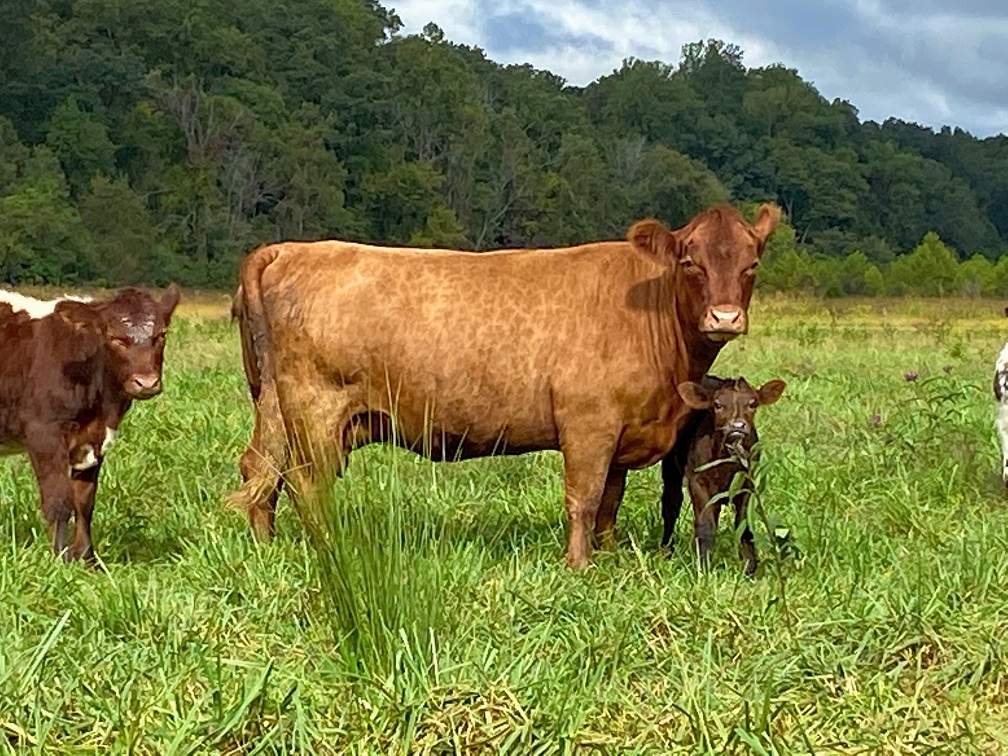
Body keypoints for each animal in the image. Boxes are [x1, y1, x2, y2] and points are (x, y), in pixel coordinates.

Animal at [0, 286, 179, 564]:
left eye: (161, 334)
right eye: (115, 338)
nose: (147, 383)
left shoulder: (94, 438)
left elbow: (84, 501)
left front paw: (88, 559)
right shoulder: (44, 434)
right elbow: (59, 501)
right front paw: (60, 560)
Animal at [228, 202, 778, 568]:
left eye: (752, 263)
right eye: (690, 261)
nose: (724, 317)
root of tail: (289, 249)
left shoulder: (622, 433)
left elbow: (609, 503)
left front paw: (609, 558)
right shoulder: (589, 425)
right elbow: (583, 498)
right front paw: (578, 568)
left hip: (276, 406)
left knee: (261, 469)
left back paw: (266, 545)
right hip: (316, 411)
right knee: (306, 483)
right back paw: (330, 550)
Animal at [661, 376, 786, 576]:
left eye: (753, 403)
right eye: (717, 404)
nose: (737, 426)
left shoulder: (747, 484)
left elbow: (744, 526)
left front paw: (750, 568)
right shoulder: (698, 480)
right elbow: (705, 525)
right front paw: (703, 568)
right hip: (671, 465)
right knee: (671, 503)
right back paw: (667, 549)